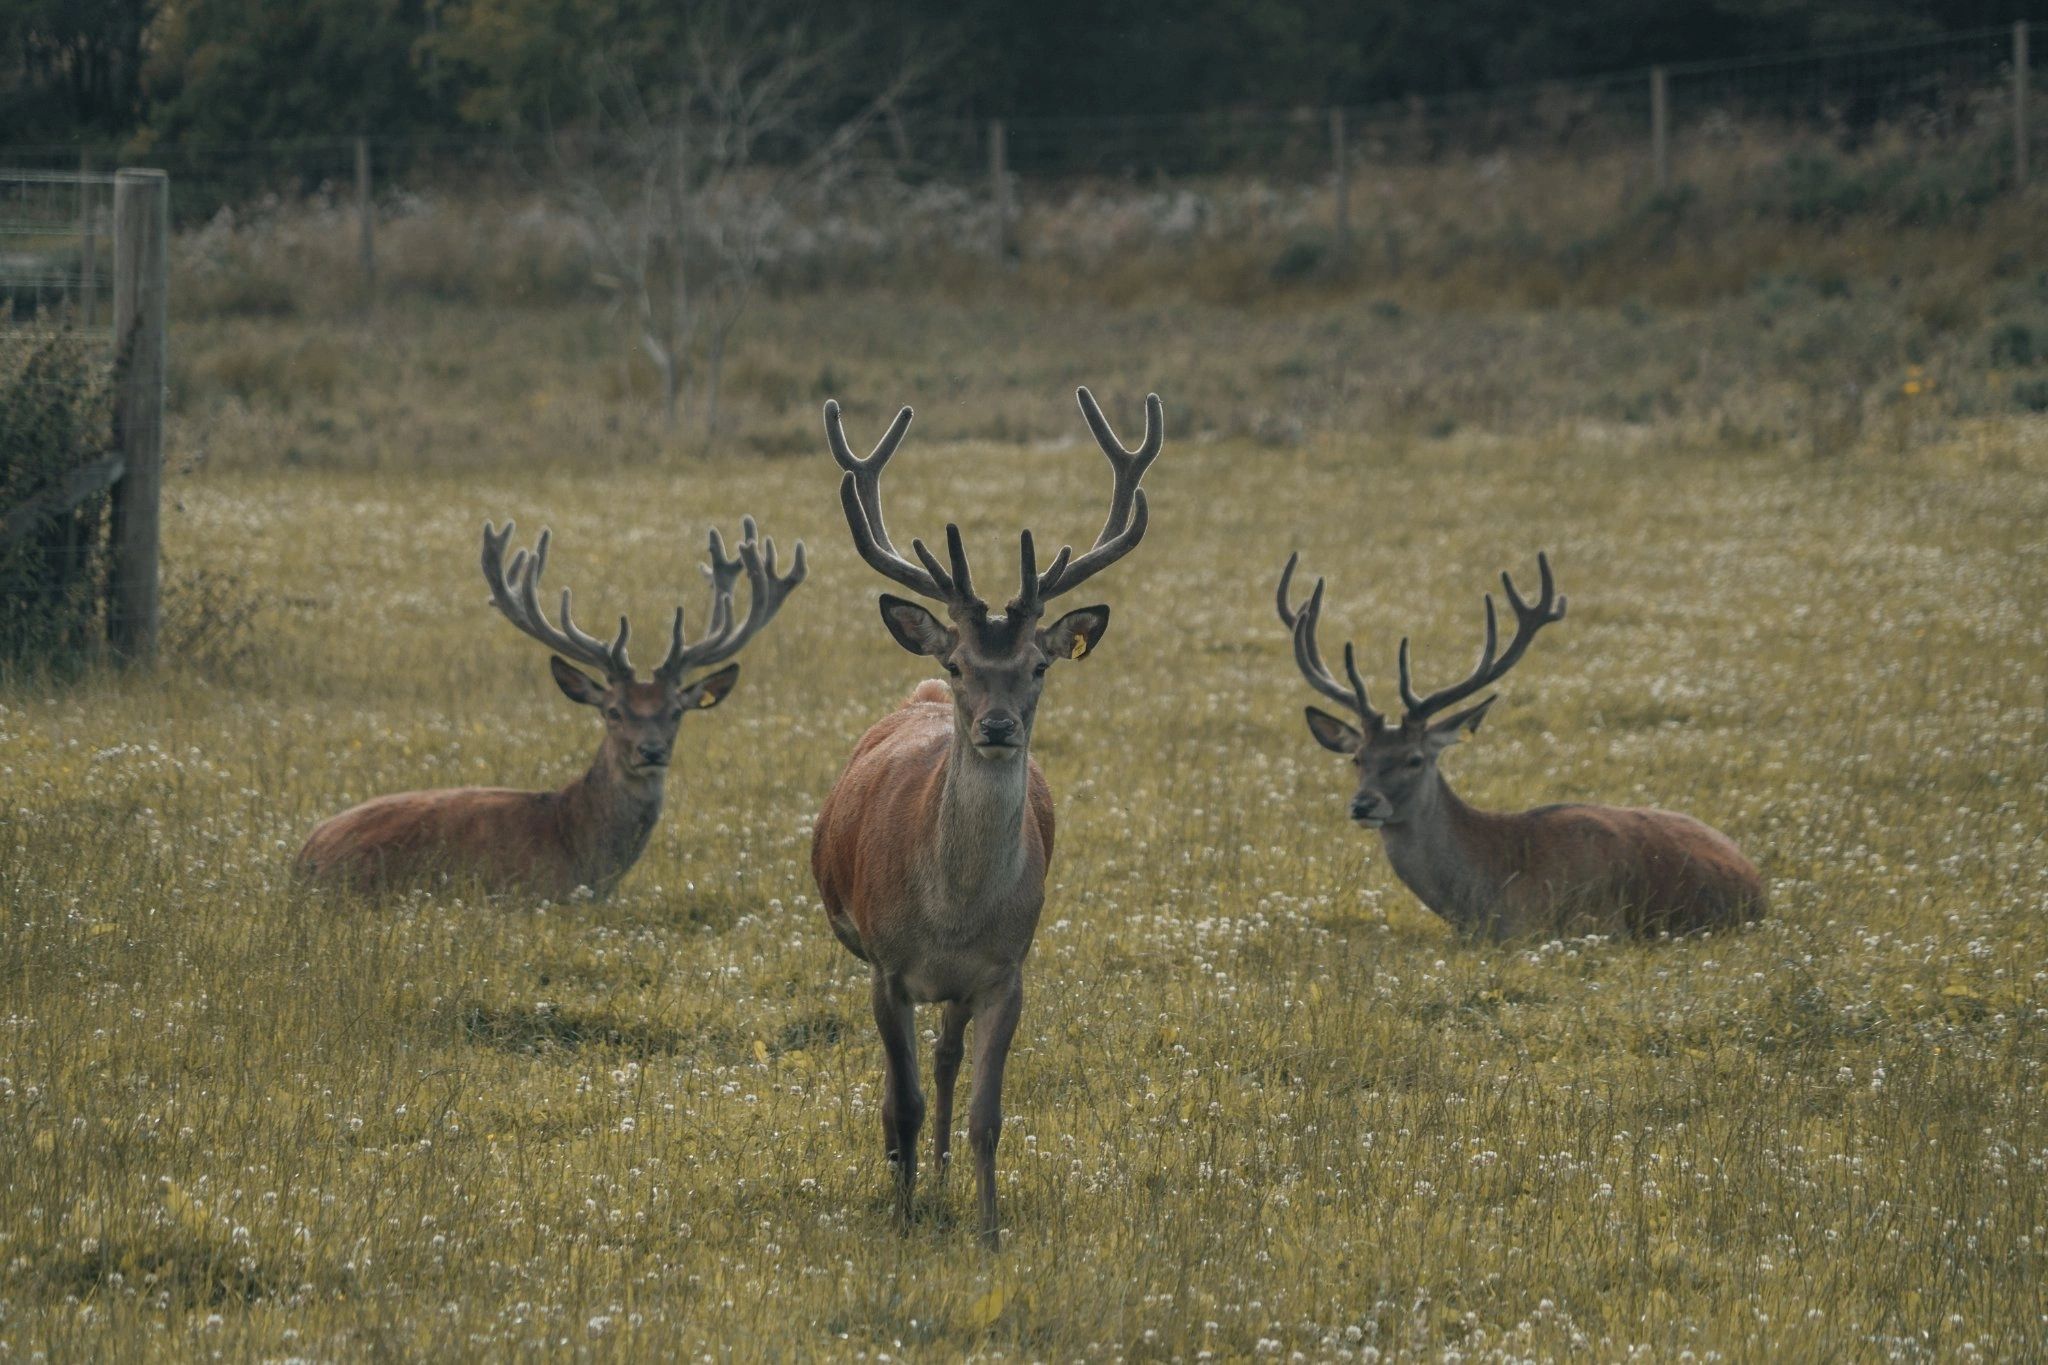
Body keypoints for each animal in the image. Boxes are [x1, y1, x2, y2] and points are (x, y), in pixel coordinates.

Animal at [810, 387, 1164, 1247]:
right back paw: (909, 1176)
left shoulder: (1007, 971)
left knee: (945, 1057)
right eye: (959, 662)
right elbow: (900, 1100)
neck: (953, 912)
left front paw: (989, 1229)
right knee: (903, 1083)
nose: (997, 725)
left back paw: (938, 1176)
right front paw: (903, 1217)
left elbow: (986, 1113)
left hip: (960, 989)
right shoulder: (887, 966)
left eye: (1038, 665)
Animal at [1276, 550, 1765, 940]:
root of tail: (1754, 874)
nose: (1363, 804)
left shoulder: (1596, 924)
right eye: (1358, 758)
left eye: (1414, 759)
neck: (1491, 896)